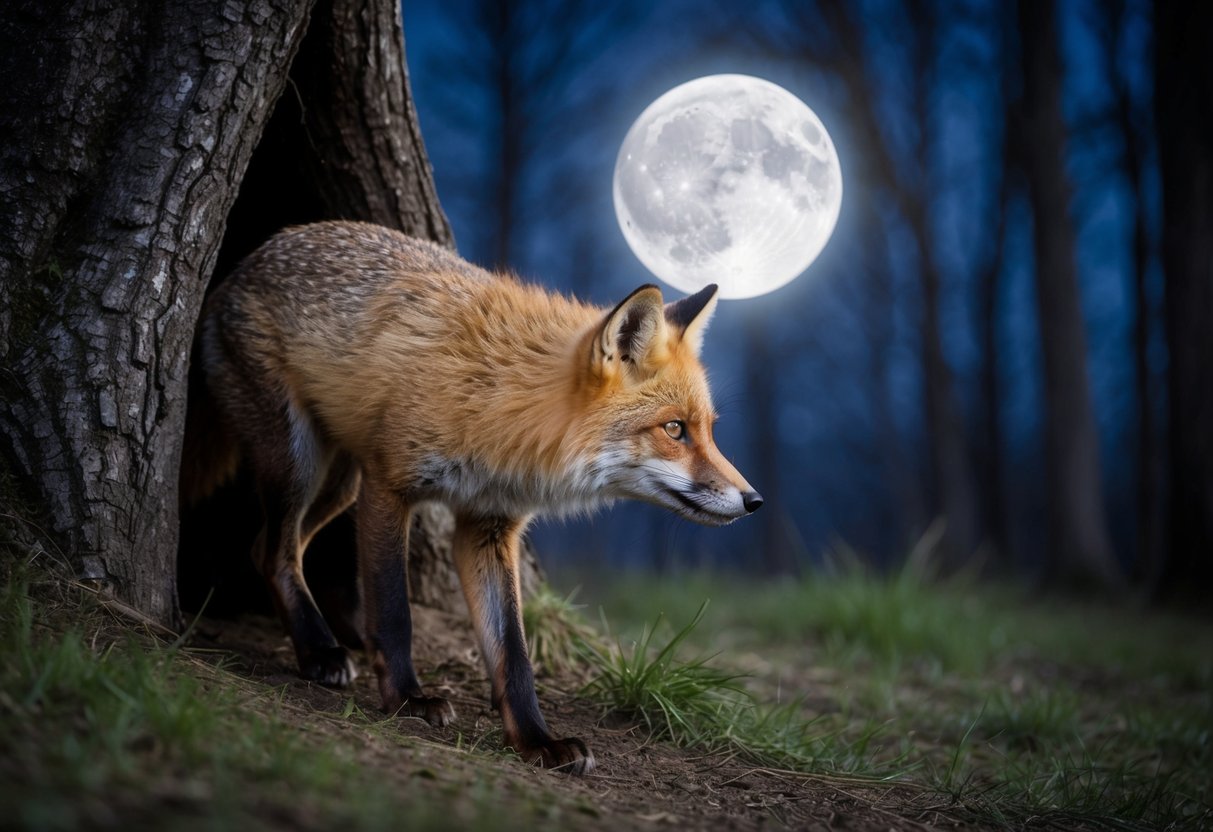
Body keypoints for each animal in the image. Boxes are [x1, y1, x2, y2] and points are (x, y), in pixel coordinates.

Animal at [186, 220, 761, 775]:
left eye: (708, 430)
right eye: (674, 429)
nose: (754, 500)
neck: (502, 399)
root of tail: (243, 264)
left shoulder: (488, 526)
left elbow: (513, 653)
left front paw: (537, 741)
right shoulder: (390, 486)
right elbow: (394, 612)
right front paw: (408, 700)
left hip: (340, 482)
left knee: (269, 545)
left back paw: (333, 638)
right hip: (301, 462)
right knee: (275, 549)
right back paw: (319, 651)